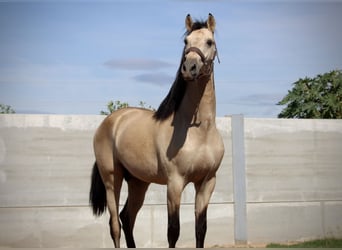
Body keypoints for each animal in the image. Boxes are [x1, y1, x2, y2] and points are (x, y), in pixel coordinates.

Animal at [90, 13, 224, 248]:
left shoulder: (207, 182)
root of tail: (110, 122)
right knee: (115, 224)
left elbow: (201, 229)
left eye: (209, 42)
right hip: (112, 179)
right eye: (186, 42)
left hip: (138, 182)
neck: (200, 132)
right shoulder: (175, 183)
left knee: (127, 217)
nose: (189, 67)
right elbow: (173, 231)